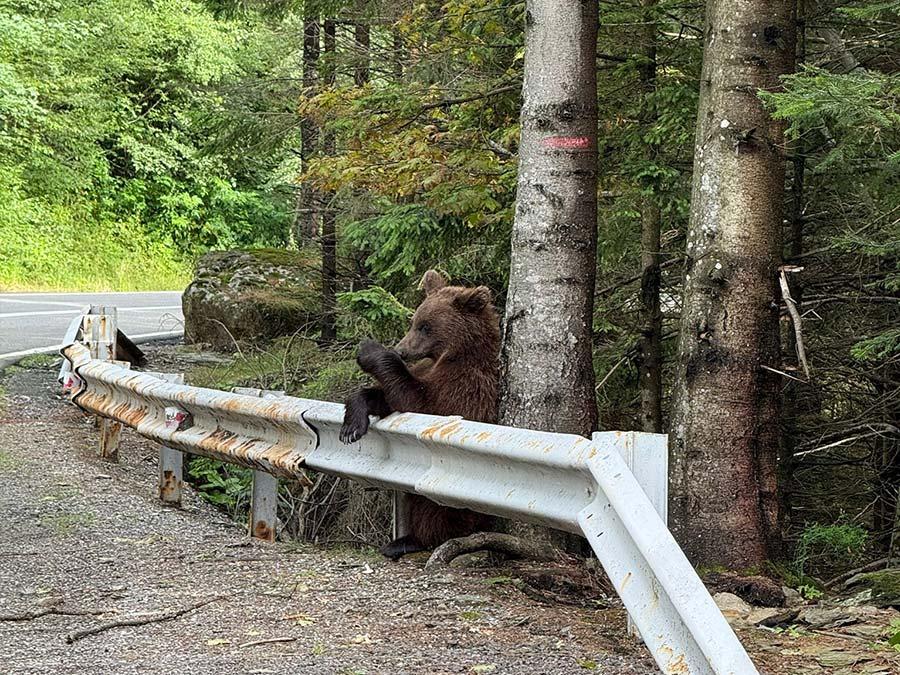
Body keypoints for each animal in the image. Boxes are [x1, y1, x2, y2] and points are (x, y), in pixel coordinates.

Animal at [340, 269, 500, 559]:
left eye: (426, 326)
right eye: (414, 320)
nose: (402, 349)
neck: (451, 356)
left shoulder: (463, 387)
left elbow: (419, 403)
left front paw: (370, 349)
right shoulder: (427, 370)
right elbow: (389, 396)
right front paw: (351, 426)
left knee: (433, 508)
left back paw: (408, 541)